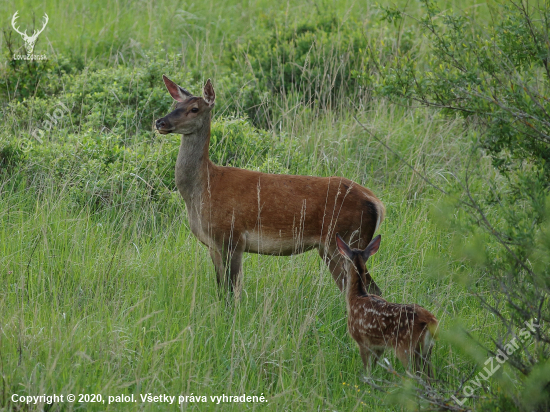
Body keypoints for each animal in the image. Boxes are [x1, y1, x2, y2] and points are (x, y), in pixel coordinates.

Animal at [155, 75, 388, 294]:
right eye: (175, 105)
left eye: (194, 108)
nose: (160, 122)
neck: (203, 188)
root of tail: (377, 203)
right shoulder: (213, 245)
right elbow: (222, 290)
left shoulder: (232, 237)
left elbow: (231, 292)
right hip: (334, 247)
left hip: (347, 239)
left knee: (371, 289)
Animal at [336, 233, 440, 378]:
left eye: (343, 260)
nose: (341, 267)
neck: (357, 296)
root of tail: (431, 320)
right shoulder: (379, 346)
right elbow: (373, 366)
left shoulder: (361, 339)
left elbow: (366, 368)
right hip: (427, 352)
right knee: (430, 376)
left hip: (405, 348)